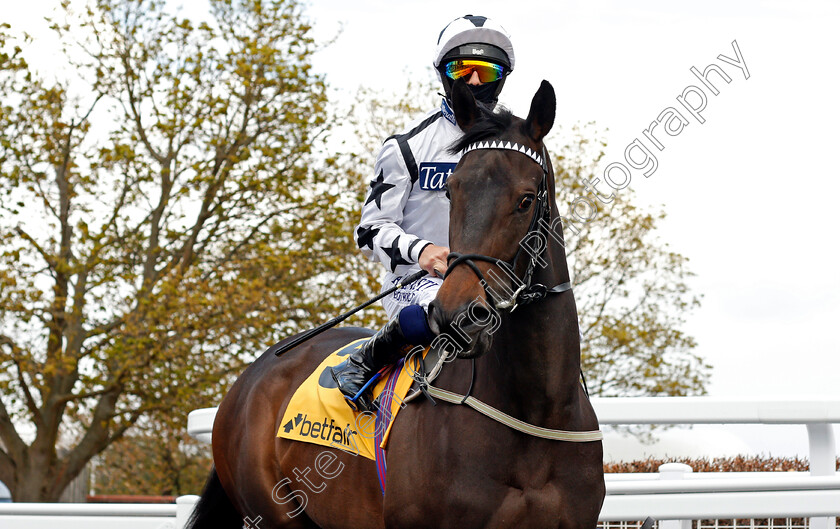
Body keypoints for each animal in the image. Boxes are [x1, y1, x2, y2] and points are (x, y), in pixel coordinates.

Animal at [185, 79, 604, 528]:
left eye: (526, 199)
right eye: (452, 191)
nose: (459, 317)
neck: (537, 413)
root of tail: (249, 377)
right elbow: (376, 226)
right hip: (273, 513)